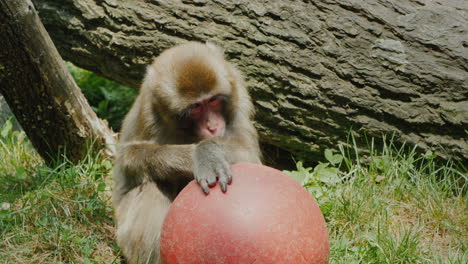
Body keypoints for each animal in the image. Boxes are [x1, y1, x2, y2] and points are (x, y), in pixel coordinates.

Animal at [112, 42, 262, 262]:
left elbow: (248, 154)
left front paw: (208, 152)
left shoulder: (238, 98)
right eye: (196, 107)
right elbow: (129, 158)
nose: (212, 126)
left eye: (213, 100)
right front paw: (201, 155)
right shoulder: (147, 110)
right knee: (150, 188)